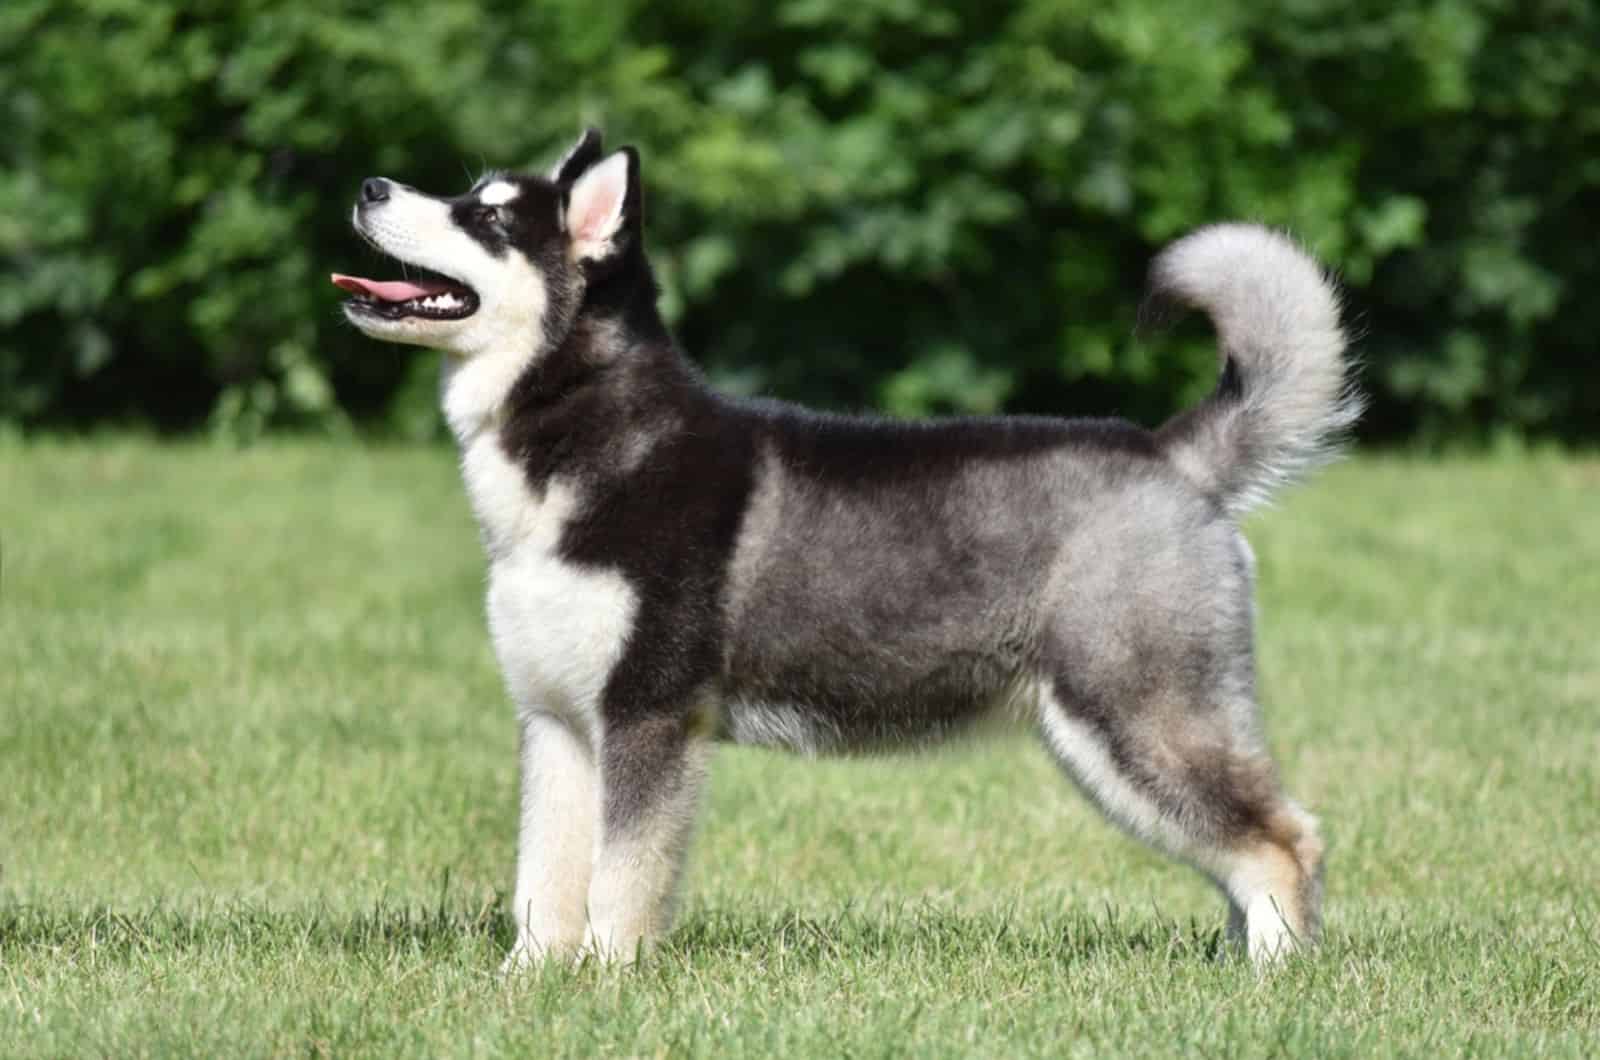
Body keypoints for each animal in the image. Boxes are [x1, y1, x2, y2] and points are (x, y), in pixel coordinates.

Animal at [337, 126, 1363, 973]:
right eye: (469, 195)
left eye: (487, 216)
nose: (370, 183)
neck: (580, 437)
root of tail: (1170, 454)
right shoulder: (557, 722)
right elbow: (541, 883)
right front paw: (528, 983)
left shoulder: (649, 717)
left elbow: (621, 878)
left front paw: (606, 978)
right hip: (1110, 739)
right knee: (1243, 851)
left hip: (1137, 717)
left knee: (1284, 841)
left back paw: (1276, 975)